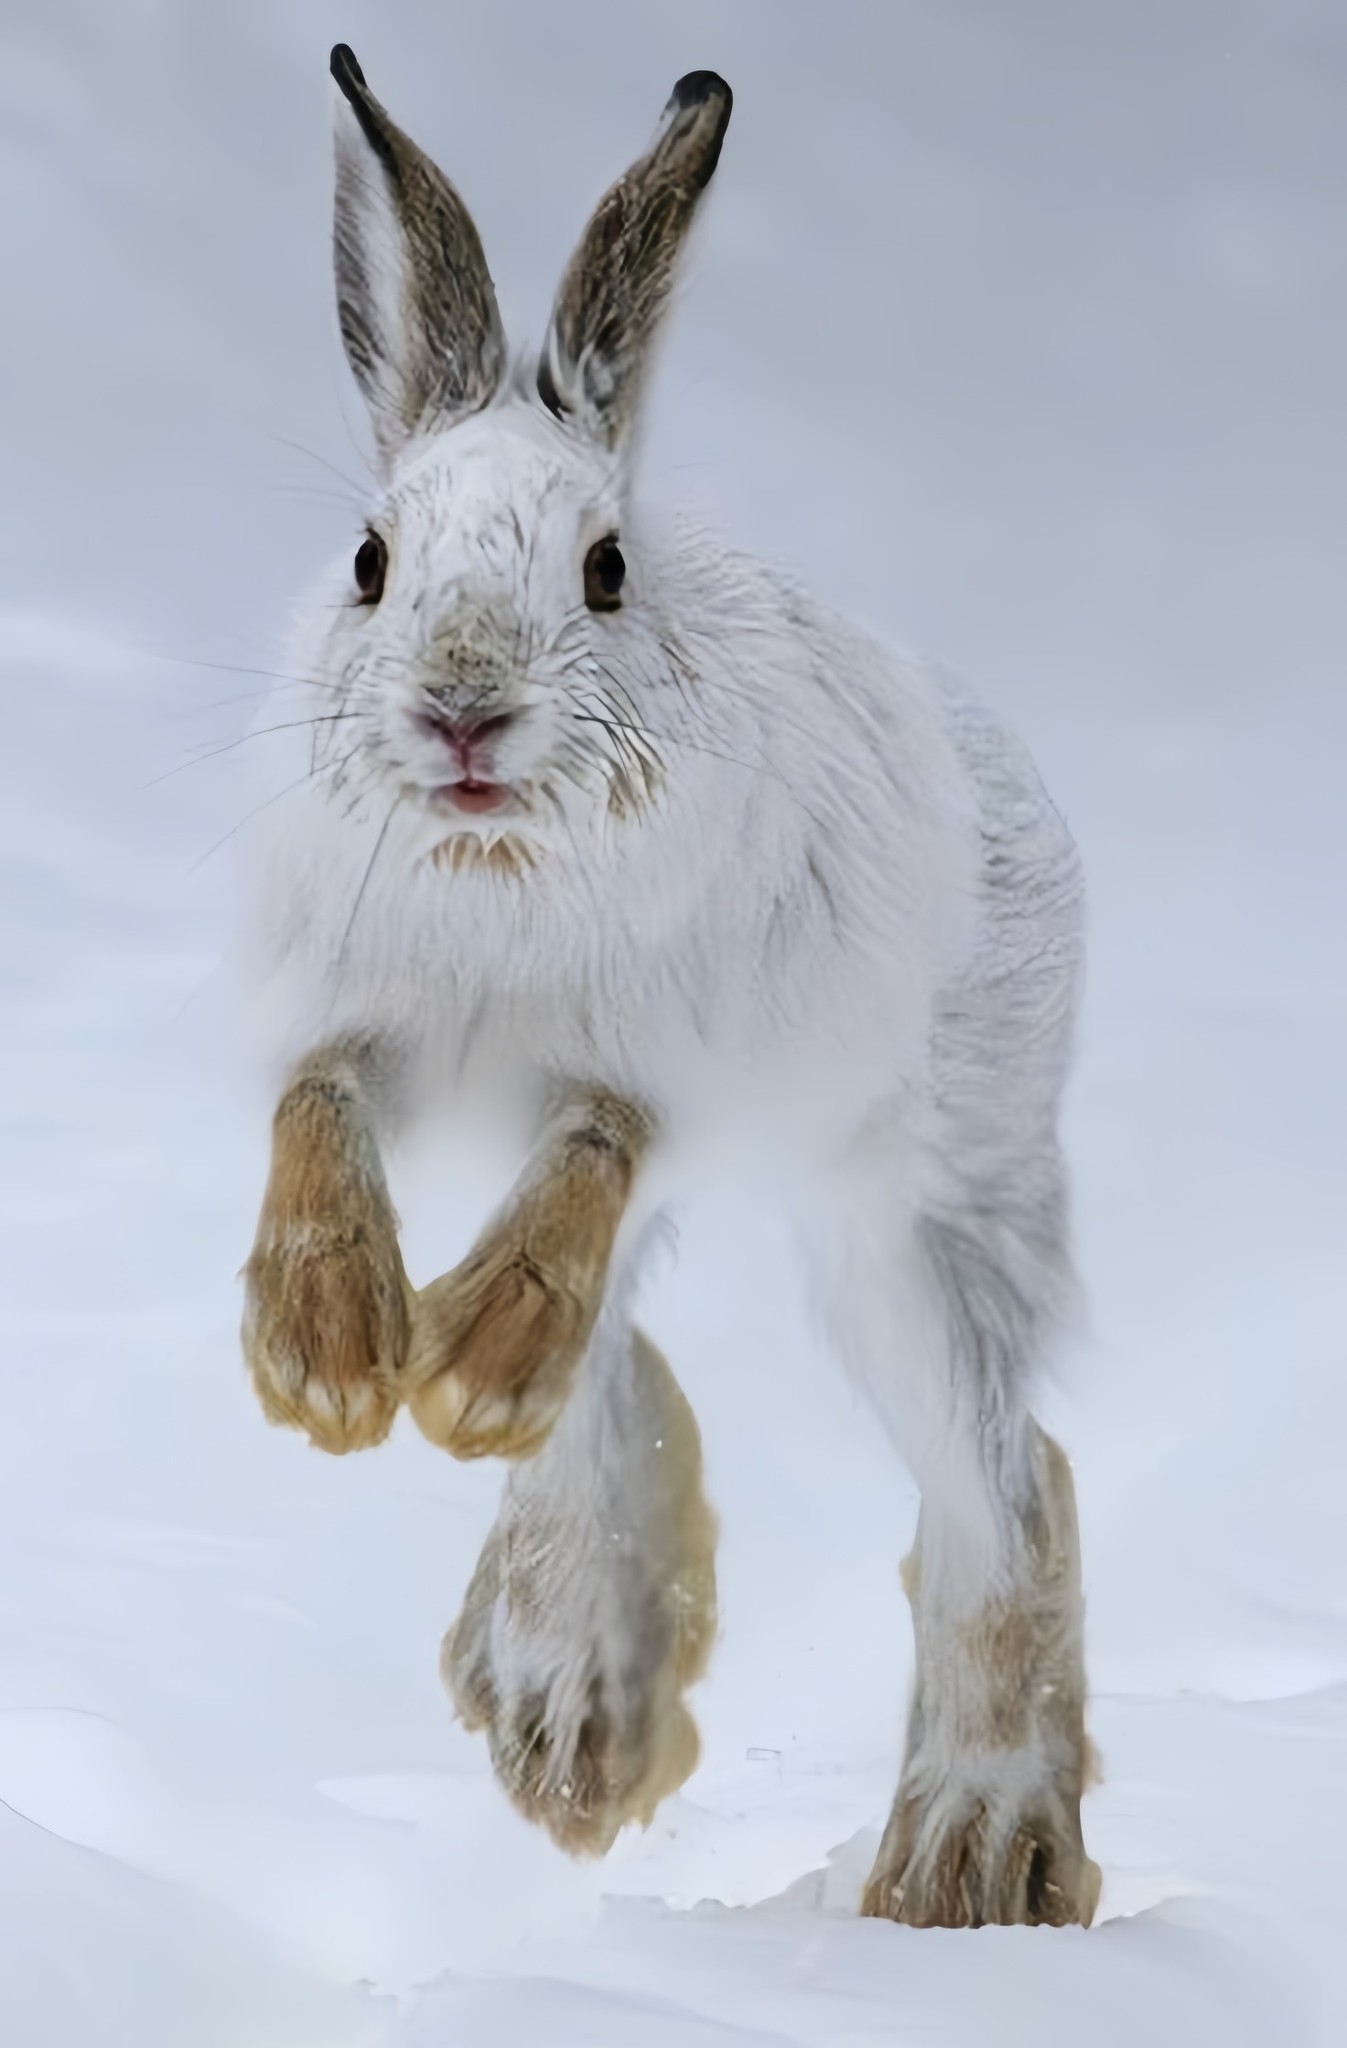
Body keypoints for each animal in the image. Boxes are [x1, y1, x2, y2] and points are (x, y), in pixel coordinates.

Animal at [240, 44, 1100, 1929]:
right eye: (372, 559)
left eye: (604, 568)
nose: (464, 713)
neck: (495, 870)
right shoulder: (347, 1023)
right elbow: (318, 1110)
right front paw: (332, 1355)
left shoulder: (652, 1071)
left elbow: (591, 1159)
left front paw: (444, 1367)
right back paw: (566, 1712)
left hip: (918, 1218)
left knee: (1005, 1482)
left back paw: (968, 1857)